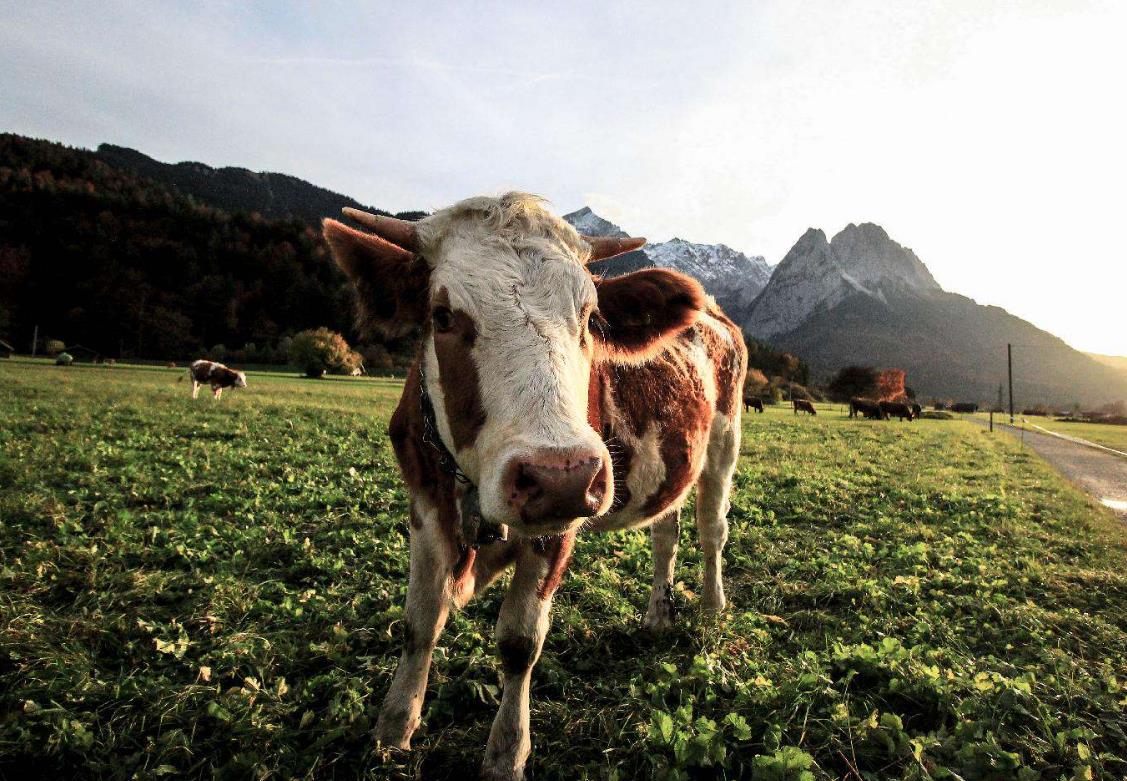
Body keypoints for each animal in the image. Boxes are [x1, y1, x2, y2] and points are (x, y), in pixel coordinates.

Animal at [324, 193, 748, 779]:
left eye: (591, 317)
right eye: (442, 316)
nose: (559, 476)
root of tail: (713, 312)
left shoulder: (559, 524)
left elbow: (519, 642)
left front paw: (507, 751)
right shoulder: (425, 504)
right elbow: (419, 620)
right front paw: (394, 727)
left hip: (724, 442)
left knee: (712, 532)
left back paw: (710, 608)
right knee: (666, 531)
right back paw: (659, 614)